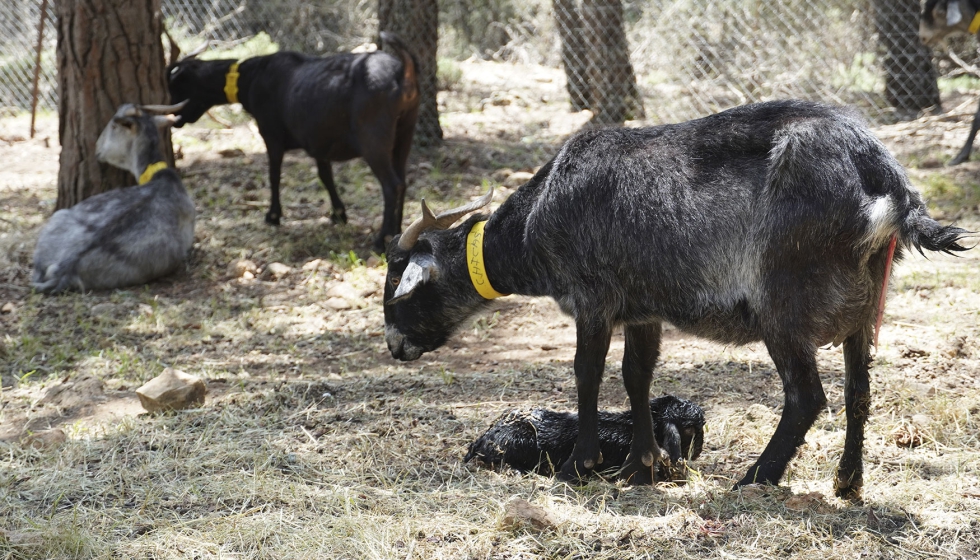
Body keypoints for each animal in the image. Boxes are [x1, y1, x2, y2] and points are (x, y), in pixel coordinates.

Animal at [167, 32, 420, 251]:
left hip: (373, 137)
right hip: (404, 132)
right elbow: (325, 175)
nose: (175, 119)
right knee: (403, 181)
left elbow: (274, 175)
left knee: (391, 184)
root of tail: (401, 74)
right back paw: (398, 233)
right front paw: (338, 214)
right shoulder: (319, 141)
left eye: (180, 85)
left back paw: (381, 240)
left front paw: (273, 216)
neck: (251, 77)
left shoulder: (271, 135)